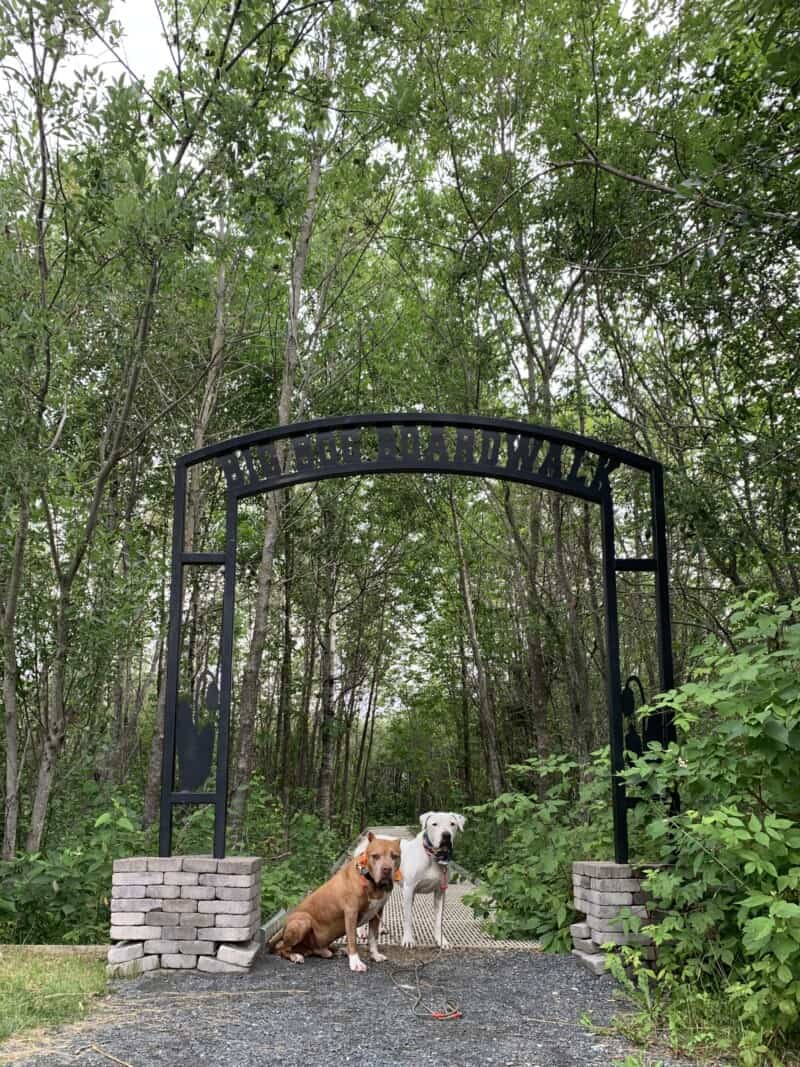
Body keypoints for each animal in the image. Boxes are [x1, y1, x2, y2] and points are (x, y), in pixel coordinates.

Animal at [273, 827, 403, 973]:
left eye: (394, 856)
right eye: (375, 856)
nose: (387, 870)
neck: (370, 881)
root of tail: (285, 925)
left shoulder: (377, 913)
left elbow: (373, 937)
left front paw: (375, 955)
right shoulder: (351, 912)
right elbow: (352, 939)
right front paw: (355, 962)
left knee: (315, 950)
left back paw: (333, 951)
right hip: (302, 921)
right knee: (281, 948)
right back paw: (295, 956)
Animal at [401, 810, 469, 947]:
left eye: (452, 824)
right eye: (434, 824)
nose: (446, 835)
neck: (433, 856)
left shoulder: (440, 891)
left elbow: (438, 920)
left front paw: (441, 940)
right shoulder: (408, 889)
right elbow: (408, 917)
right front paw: (408, 939)